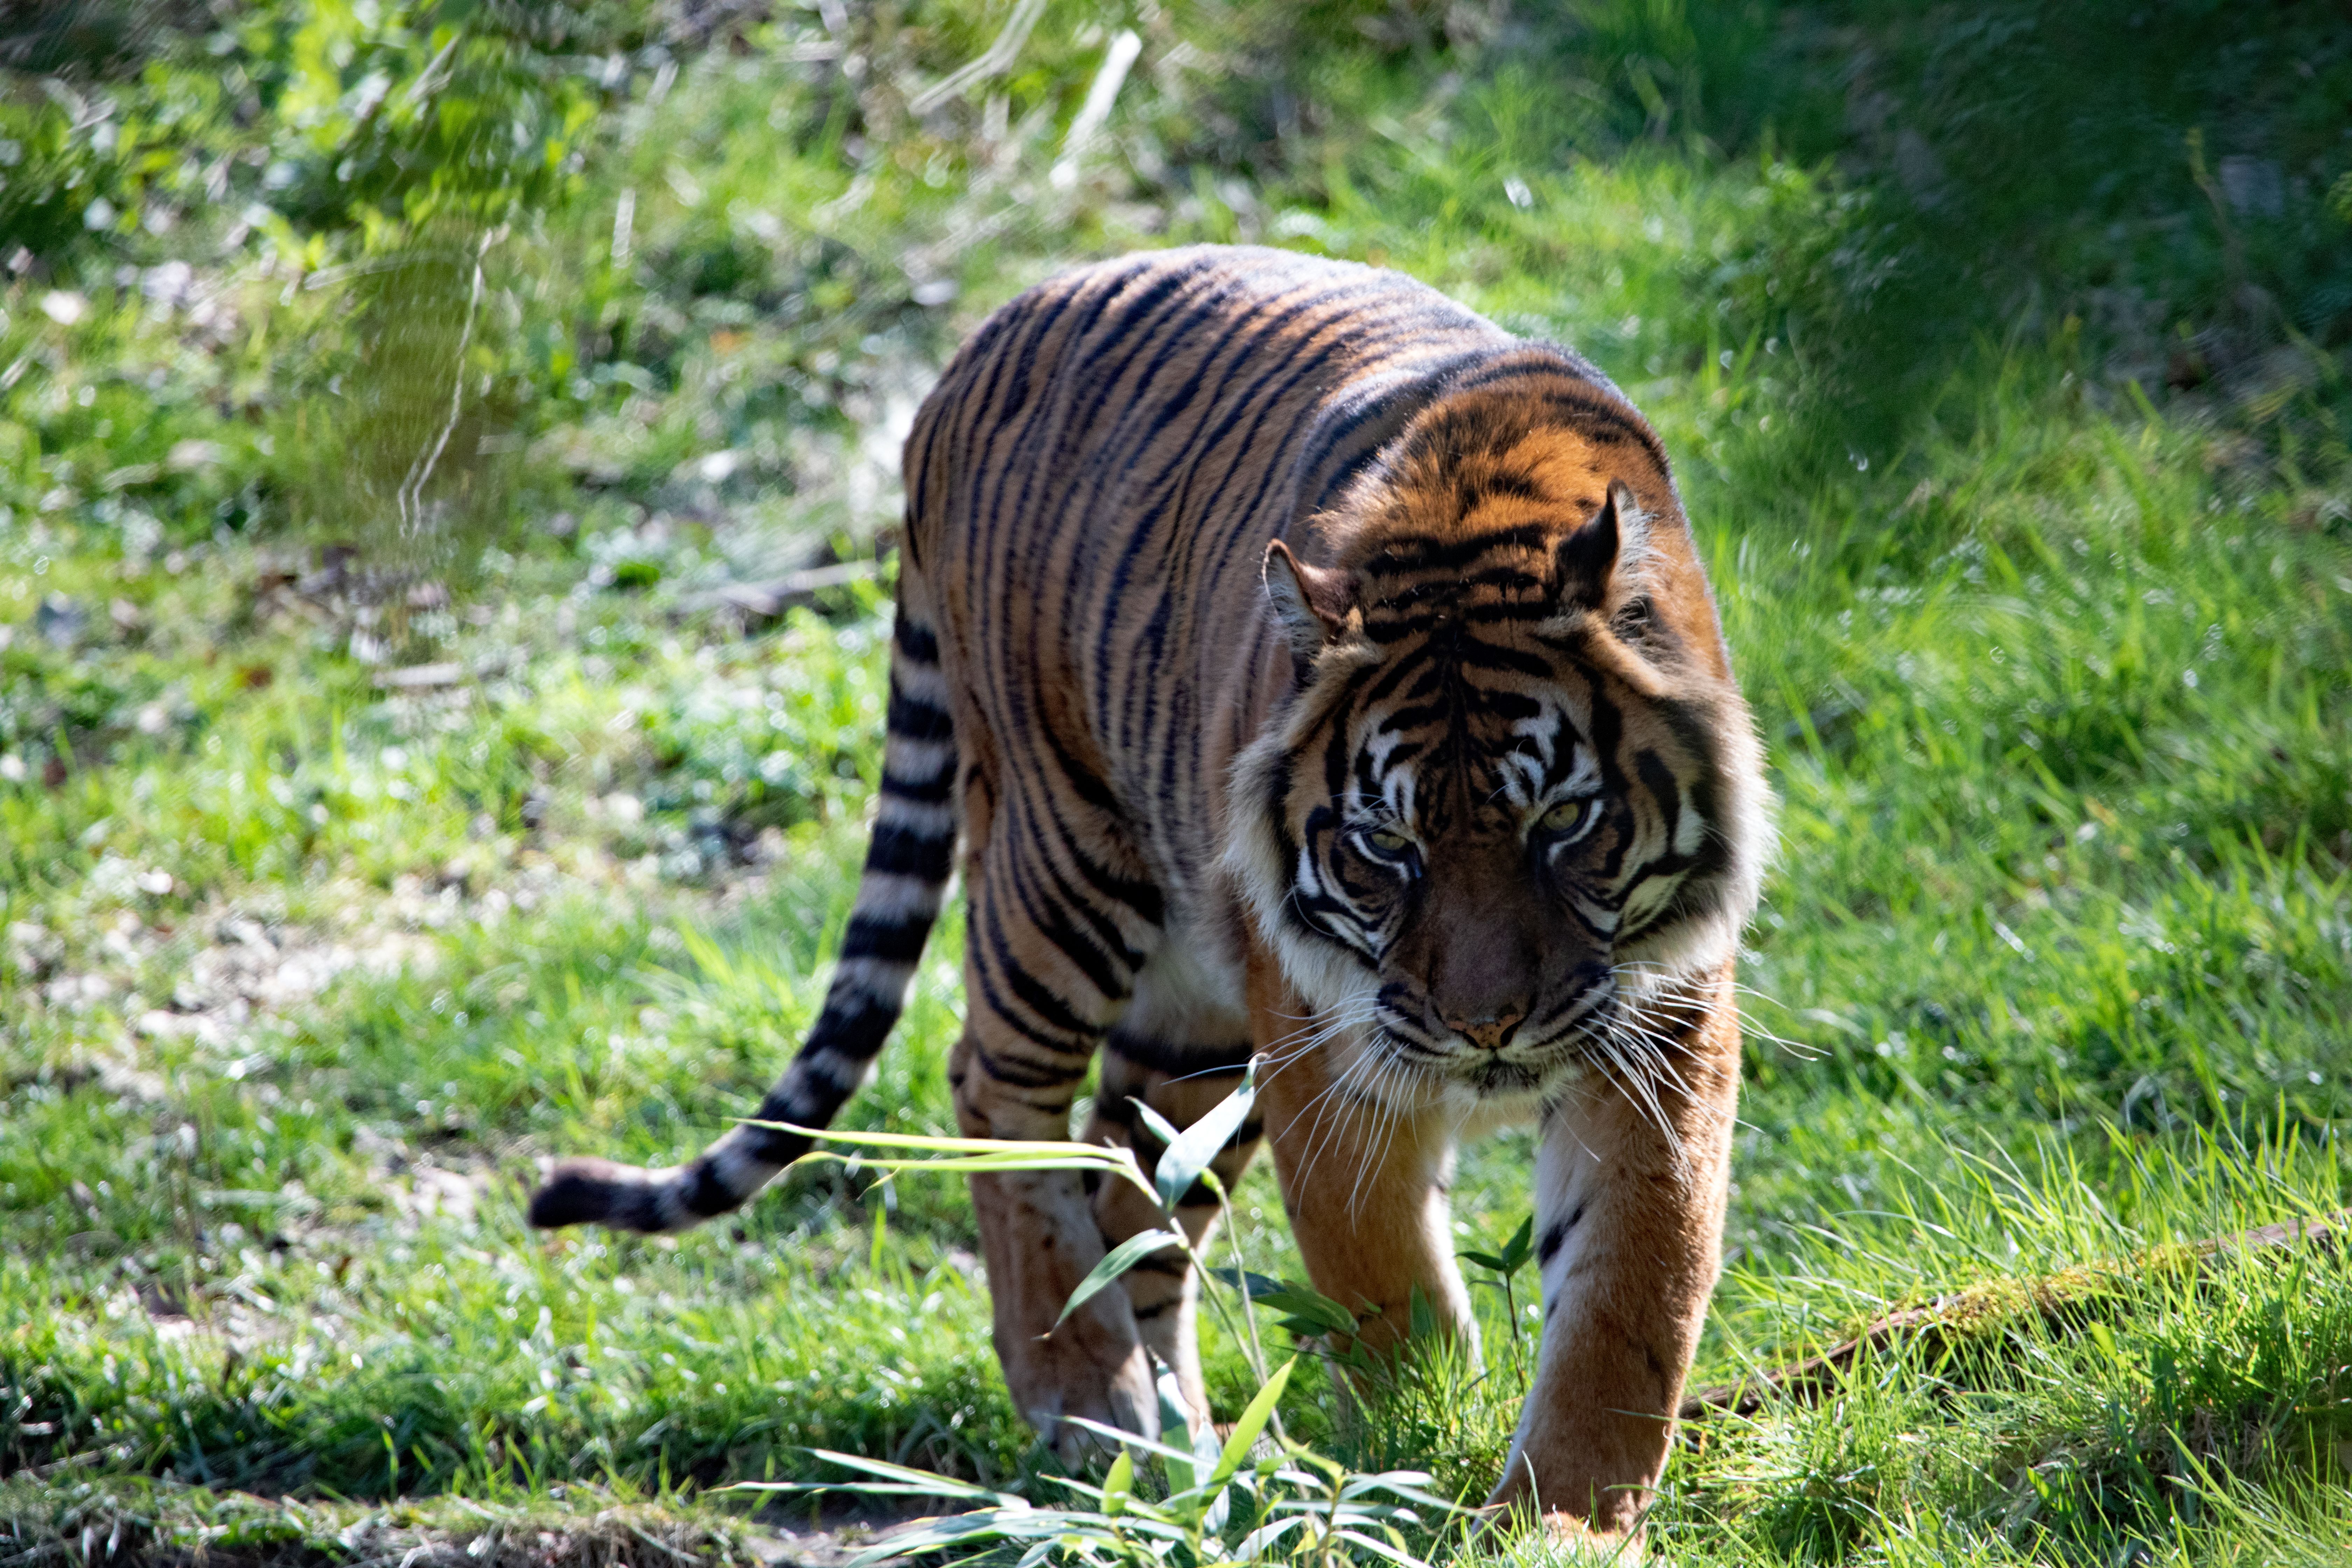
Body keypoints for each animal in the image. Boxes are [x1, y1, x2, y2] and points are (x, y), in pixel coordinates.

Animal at [529, 245, 1768, 1538]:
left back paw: (1180, 1451)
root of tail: (976, 343)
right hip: (1060, 868)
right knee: (996, 1091)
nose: (1490, 1030)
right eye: (1386, 845)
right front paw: (1409, 1454)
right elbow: (1384, 1285)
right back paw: (1087, 1406)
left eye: (1562, 821)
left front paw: (1559, 1518)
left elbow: (1631, 1298)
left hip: (1199, 1022)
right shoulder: (1327, 1046)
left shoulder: (1660, 1026)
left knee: (1130, 1187)